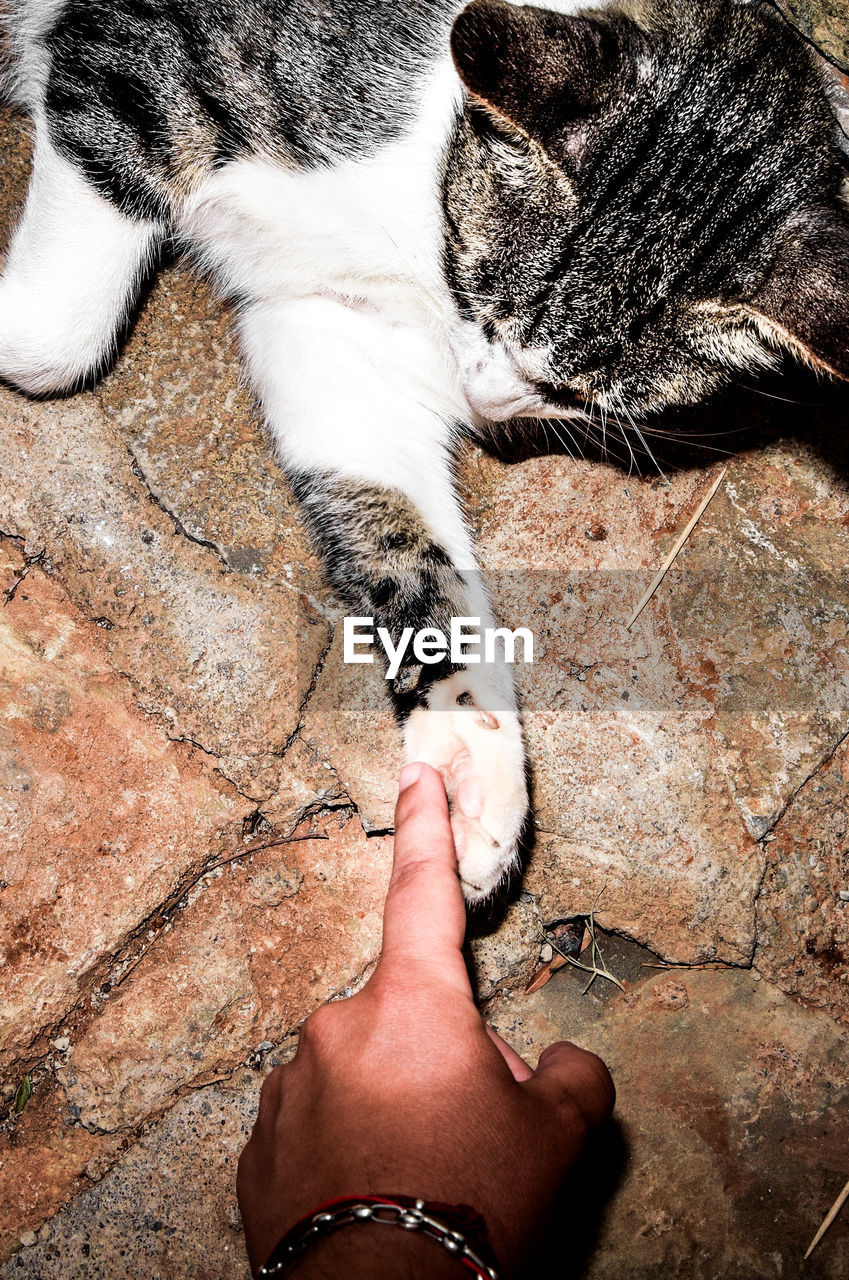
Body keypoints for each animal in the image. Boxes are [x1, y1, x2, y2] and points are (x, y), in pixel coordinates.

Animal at [0, 0, 845, 901]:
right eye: (484, 300)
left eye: (578, 395)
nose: (483, 400)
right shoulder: (132, 59)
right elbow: (52, 336)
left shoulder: (336, 339)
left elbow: (415, 554)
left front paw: (473, 767)